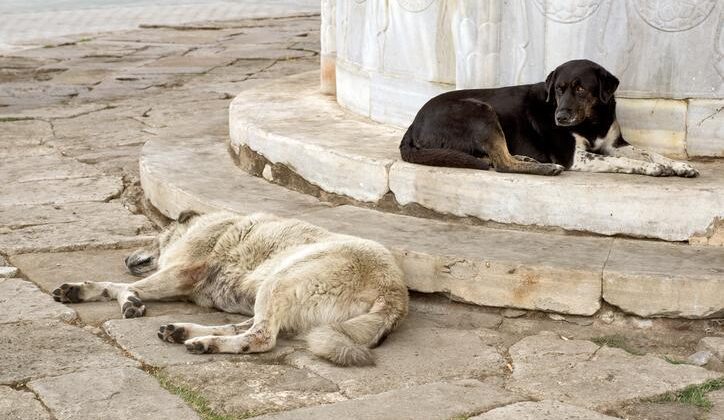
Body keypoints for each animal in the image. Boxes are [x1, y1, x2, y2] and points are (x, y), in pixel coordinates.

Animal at [398, 59, 700, 177]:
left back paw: (528, 159)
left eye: (581, 89)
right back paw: (546, 168)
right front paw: (654, 169)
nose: (560, 117)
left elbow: (650, 152)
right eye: (558, 89)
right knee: (502, 164)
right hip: (481, 110)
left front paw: (679, 166)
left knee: (498, 158)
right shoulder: (576, 158)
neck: (593, 120)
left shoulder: (615, 145)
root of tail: (412, 125)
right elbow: (628, 162)